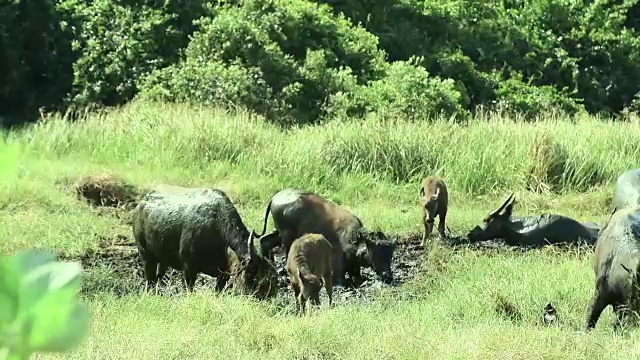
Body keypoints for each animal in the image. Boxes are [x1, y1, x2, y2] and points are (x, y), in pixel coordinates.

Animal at [132, 186, 278, 298]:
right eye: (253, 274)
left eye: (271, 274)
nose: (268, 295)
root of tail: (141, 204)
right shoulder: (189, 268)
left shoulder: (223, 274)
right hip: (146, 256)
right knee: (150, 279)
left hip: (162, 260)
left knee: (158, 276)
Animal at [256, 188, 396, 286]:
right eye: (375, 252)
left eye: (390, 254)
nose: (387, 275)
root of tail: (275, 198)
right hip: (287, 237)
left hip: (279, 232)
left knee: (265, 241)